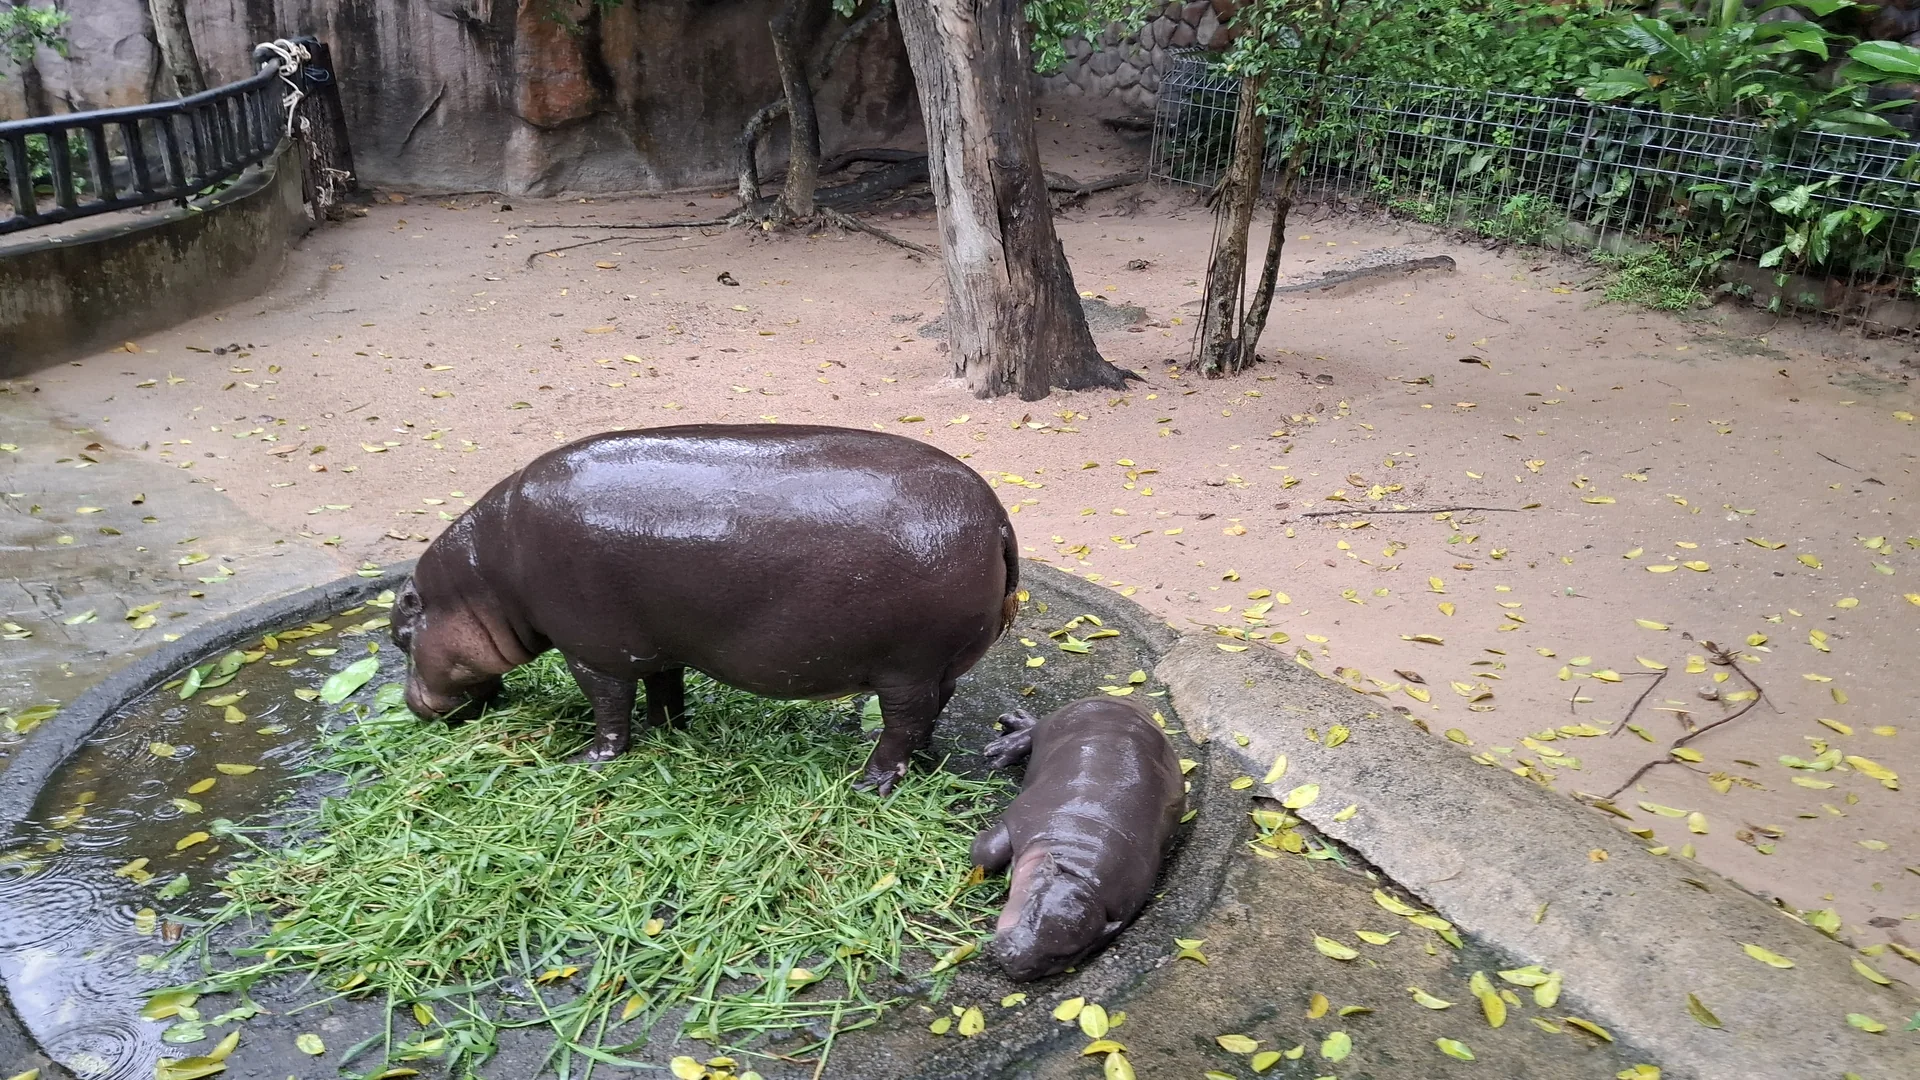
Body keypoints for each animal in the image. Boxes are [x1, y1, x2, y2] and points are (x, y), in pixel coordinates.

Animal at [390, 424, 1018, 793]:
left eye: (400, 636)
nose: (412, 706)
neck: (484, 579)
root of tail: (996, 514)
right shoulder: (649, 644)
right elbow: (664, 686)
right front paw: (669, 730)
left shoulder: (590, 651)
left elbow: (607, 708)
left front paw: (586, 761)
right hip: (935, 664)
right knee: (934, 708)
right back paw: (924, 758)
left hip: (906, 667)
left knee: (903, 723)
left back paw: (870, 782)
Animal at [970, 697, 1186, 981]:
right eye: (1033, 908)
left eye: (1063, 955)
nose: (1017, 962)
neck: (1076, 865)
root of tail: (1126, 702)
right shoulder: (1021, 822)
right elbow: (986, 853)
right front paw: (978, 838)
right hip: (1054, 724)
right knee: (1031, 732)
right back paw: (1000, 748)